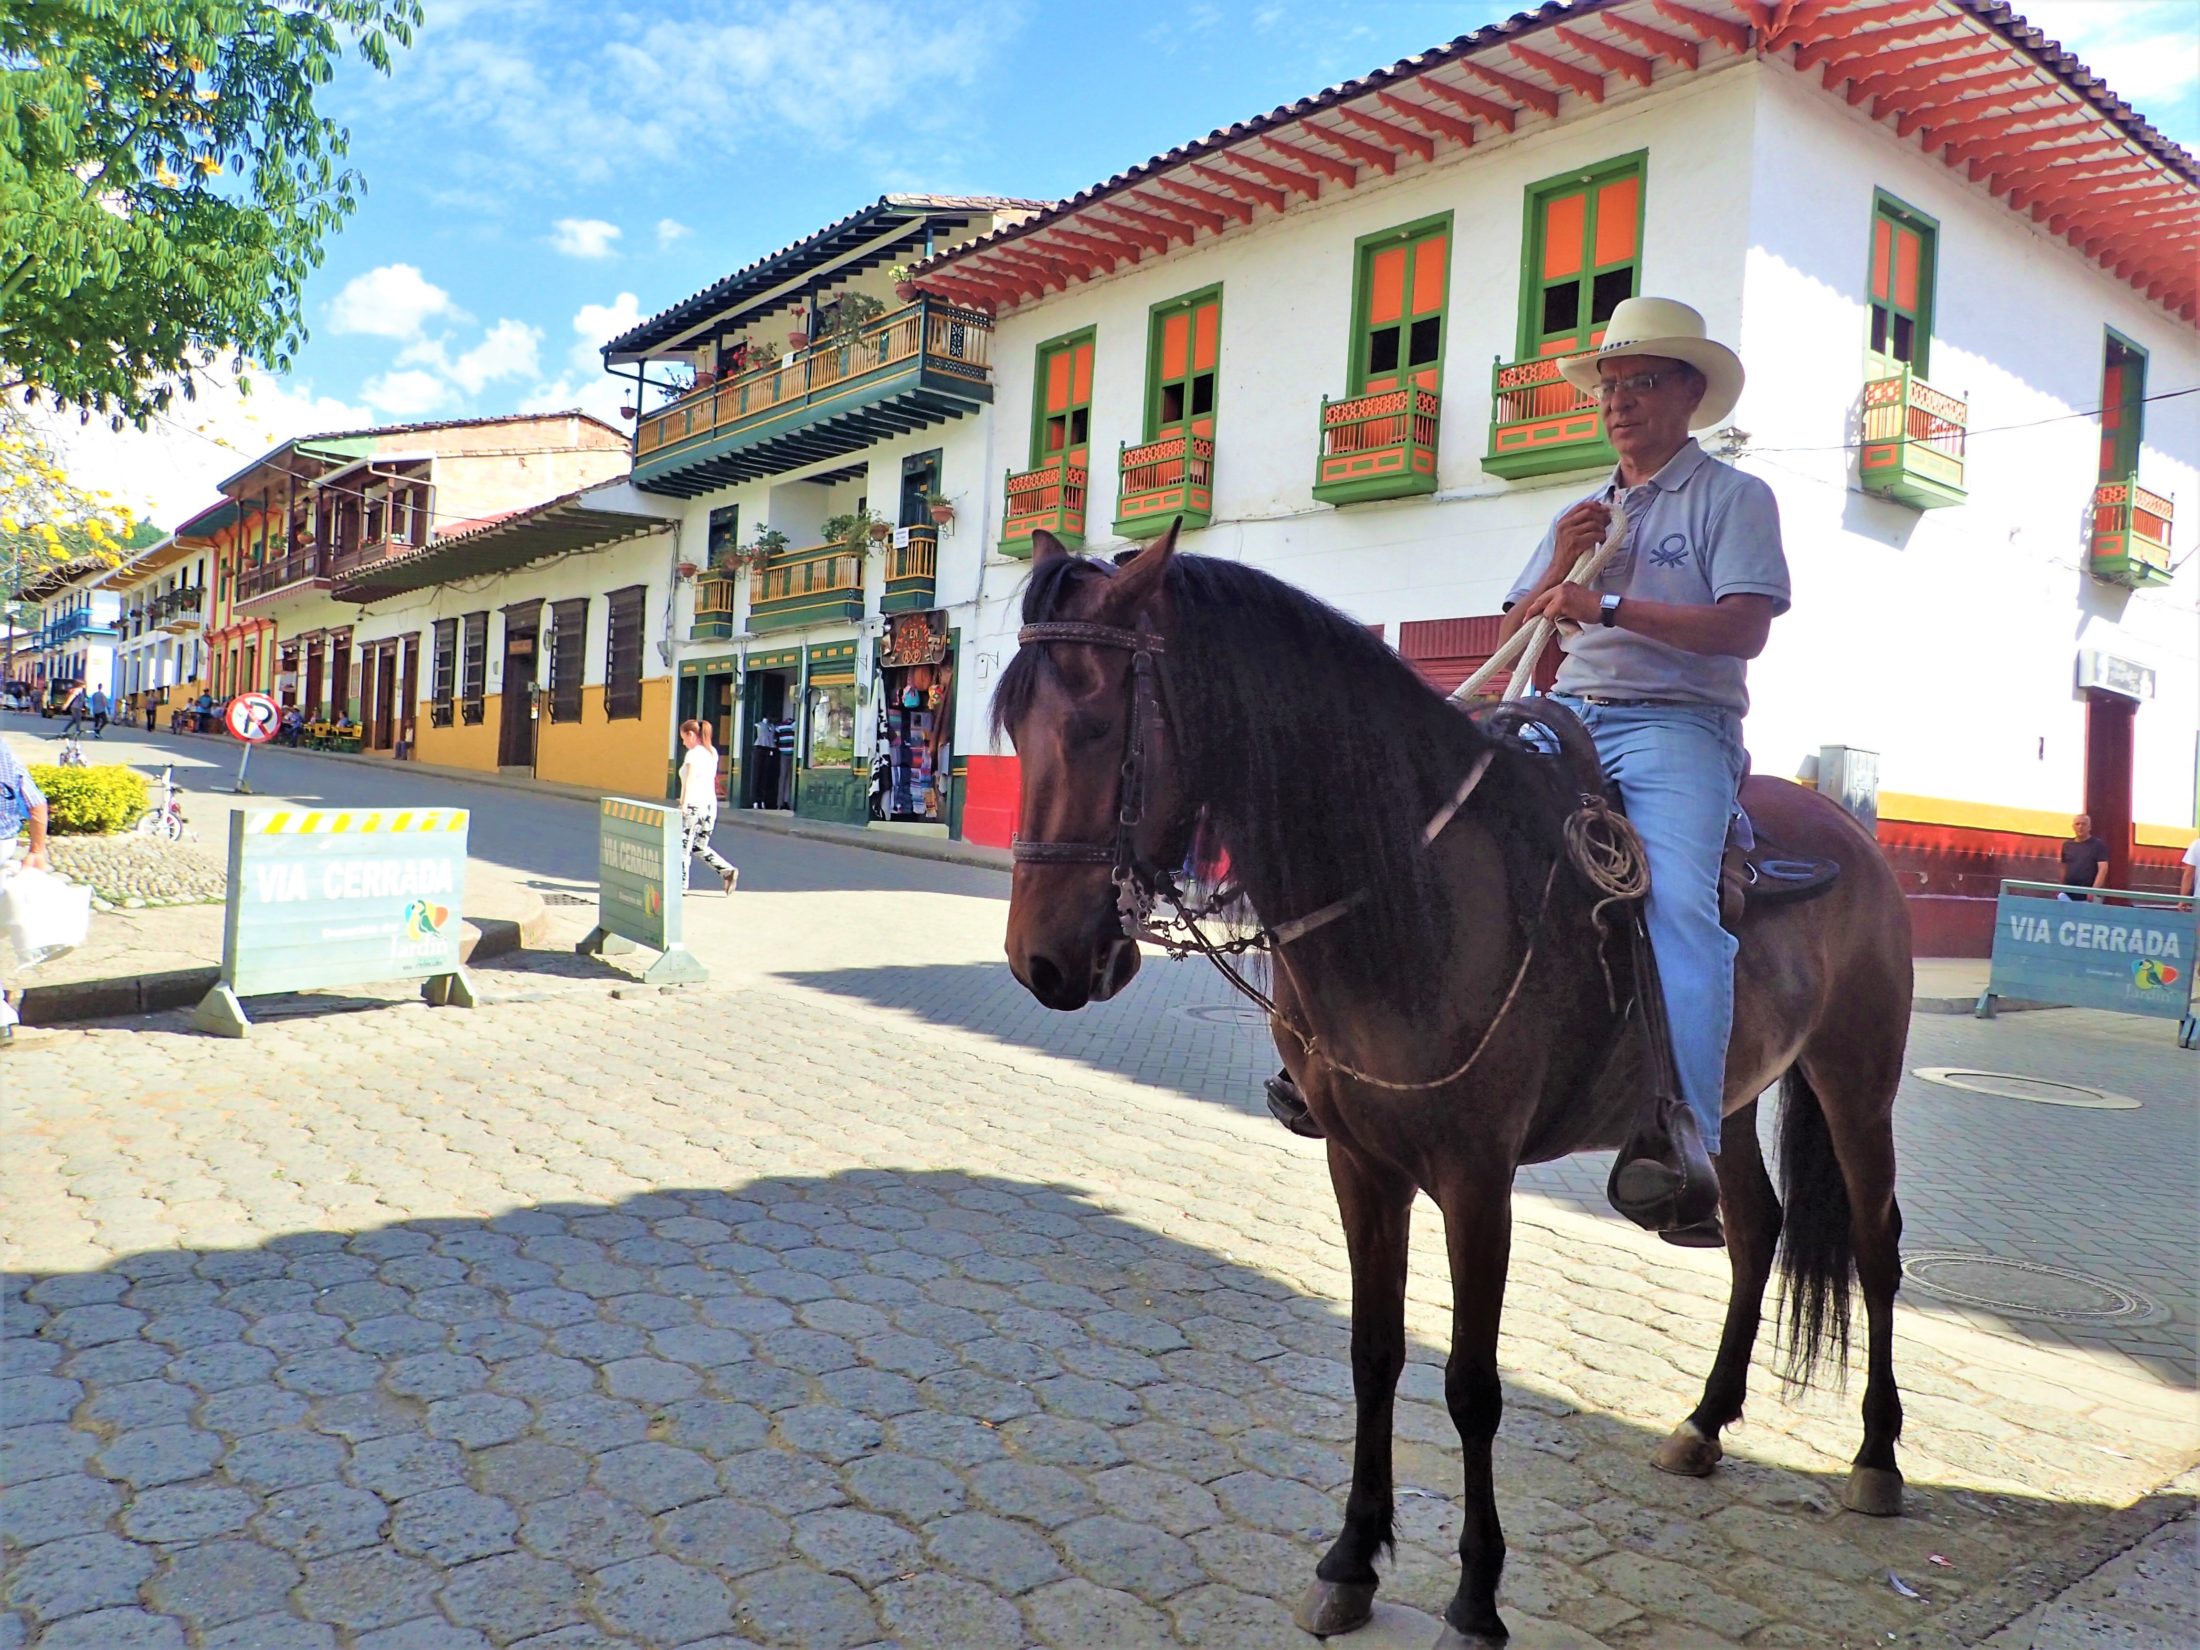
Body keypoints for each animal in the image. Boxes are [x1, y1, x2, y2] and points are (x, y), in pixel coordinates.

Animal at [994, 530, 1909, 1650]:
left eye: (1091, 720)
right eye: (1013, 725)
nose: (1041, 960)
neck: (1414, 889)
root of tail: (1848, 829)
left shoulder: (1477, 1180)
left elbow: (1471, 1384)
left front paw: (1476, 1596)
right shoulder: (1361, 1163)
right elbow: (1373, 1353)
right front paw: (1351, 1558)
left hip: (1857, 1083)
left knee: (1873, 1247)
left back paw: (1877, 1456)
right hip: (1729, 1099)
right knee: (1756, 1229)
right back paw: (1702, 1422)